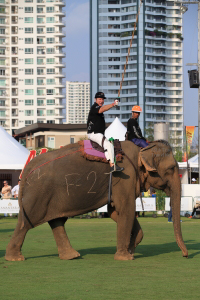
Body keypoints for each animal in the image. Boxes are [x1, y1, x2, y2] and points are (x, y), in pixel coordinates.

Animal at [5, 141, 189, 260]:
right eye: (171, 168)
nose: (185, 255)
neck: (141, 150)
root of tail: (28, 167)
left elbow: (115, 212)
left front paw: (130, 249)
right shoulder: (124, 177)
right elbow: (126, 210)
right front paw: (125, 257)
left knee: (56, 221)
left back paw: (72, 256)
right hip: (39, 192)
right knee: (27, 222)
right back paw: (14, 258)